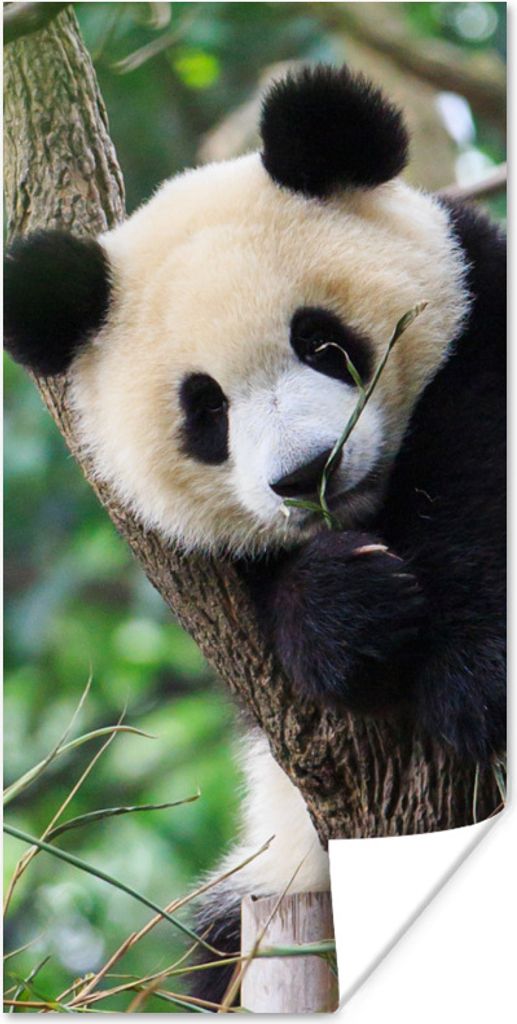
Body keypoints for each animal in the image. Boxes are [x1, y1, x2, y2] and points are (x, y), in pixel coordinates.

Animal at [4, 65, 506, 1005]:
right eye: (206, 411)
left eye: (320, 339)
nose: (309, 473)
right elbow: (259, 624)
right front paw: (346, 608)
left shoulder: (485, 318)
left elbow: (481, 470)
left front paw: (472, 682)